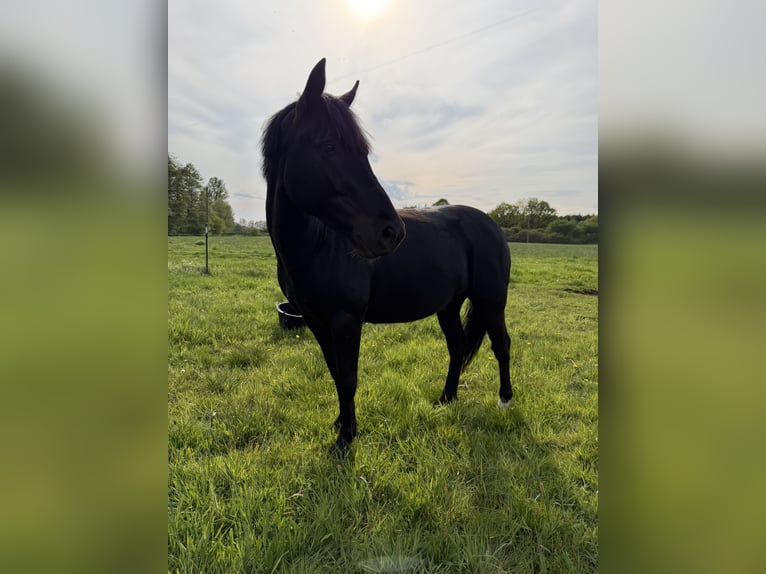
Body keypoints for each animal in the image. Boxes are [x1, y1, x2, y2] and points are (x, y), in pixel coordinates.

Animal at [261, 58, 512, 454]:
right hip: (449, 305)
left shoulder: (346, 320)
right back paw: (446, 399)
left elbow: (348, 377)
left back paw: (504, 401)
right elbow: (335, 373)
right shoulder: (317, 321)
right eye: (329, 145)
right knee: (457, 347)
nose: (391, 232)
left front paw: (346, 439)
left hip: (491, 300)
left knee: (501, 345)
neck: (316, 246)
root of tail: (491, 224)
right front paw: (339, 424)